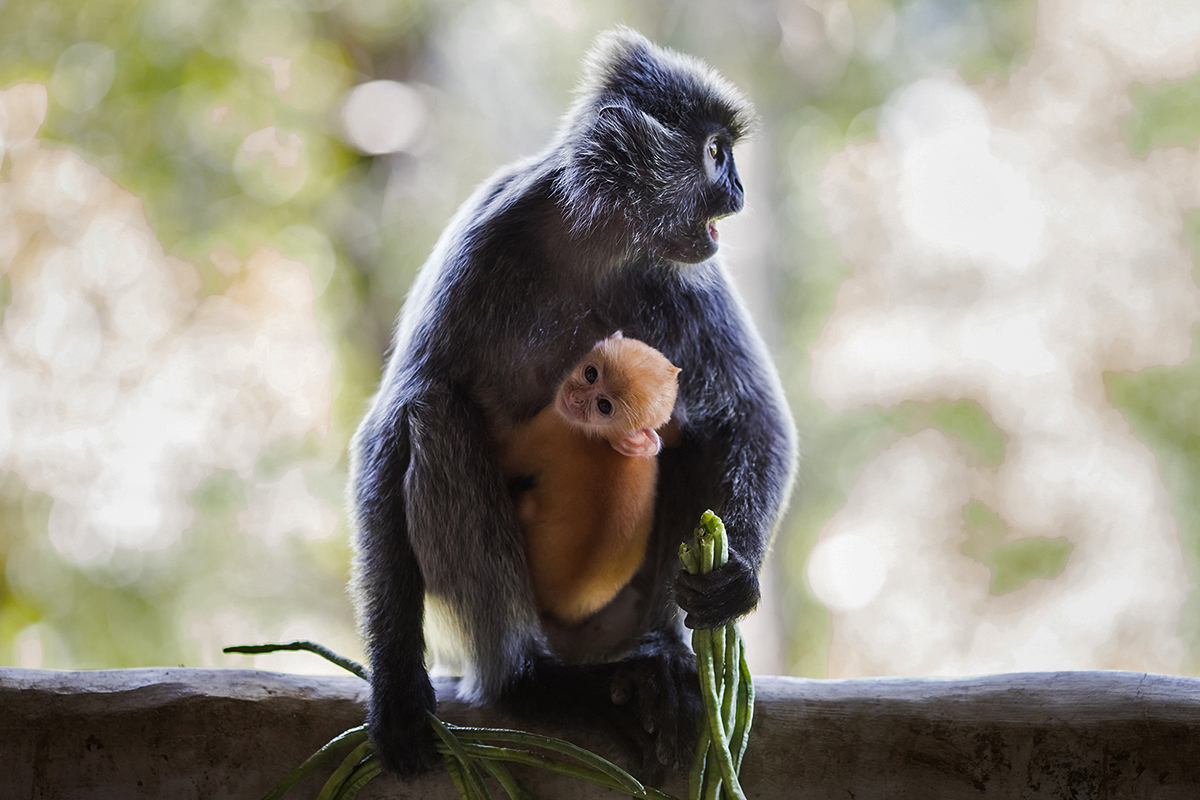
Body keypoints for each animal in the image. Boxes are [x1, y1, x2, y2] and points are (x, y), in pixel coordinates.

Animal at [496, 331, 681, 623]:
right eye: (591, 374)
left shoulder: (553, 427)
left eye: (604, 406)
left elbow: (504, 453)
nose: (576, 397)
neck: (604, 441)